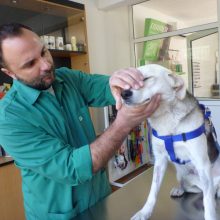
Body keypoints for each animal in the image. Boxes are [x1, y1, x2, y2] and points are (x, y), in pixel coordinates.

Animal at [121, 64, 220, 220]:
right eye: (130, 82)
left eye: (146, 78)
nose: (123, 93)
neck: (167, 119)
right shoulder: (160, 160)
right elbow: (153, 191)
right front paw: (145, 212)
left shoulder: (202, 163)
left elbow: (208, 201)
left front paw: (210, 215)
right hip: (183, 175)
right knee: (196, 189)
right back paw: (180, 190)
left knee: (210, 192)